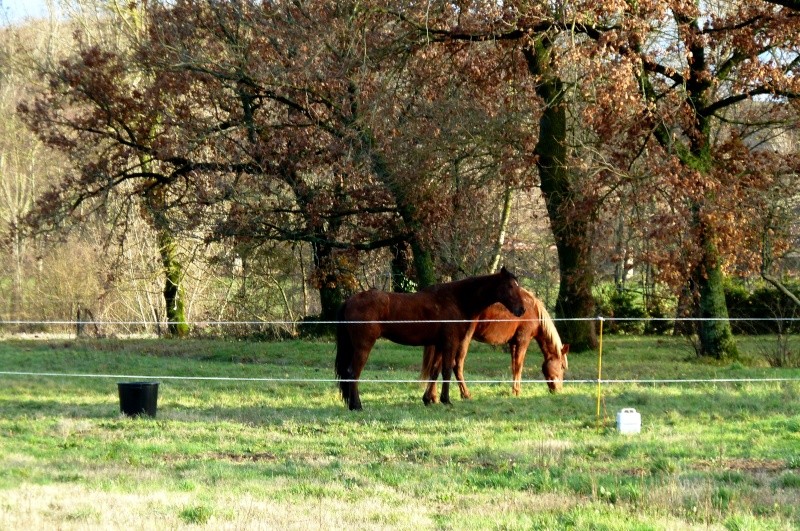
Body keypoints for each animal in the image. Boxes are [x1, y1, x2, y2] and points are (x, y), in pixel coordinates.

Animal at [336, 270, 528, 412]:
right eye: (510, 286)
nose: (522, 309)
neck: (456, 299)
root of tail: (350, 300)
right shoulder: (450, 342)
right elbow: (447, 370)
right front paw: (446, 399)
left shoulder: (439, 344)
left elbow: (435, 371)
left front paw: (428, 399)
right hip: (363, 346)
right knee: (353, 373)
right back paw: (357, 406)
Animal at [418, 288, 568, 406]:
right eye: (562, 367)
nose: (558, 390)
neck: (533, 310)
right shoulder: (522, 341)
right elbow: (519, 367)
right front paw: (517, 391)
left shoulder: (513, 344)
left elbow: (514, 367)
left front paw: (514, 390)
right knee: (456, 365)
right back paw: (465, 395)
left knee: (437, 366)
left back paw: (433, 397)